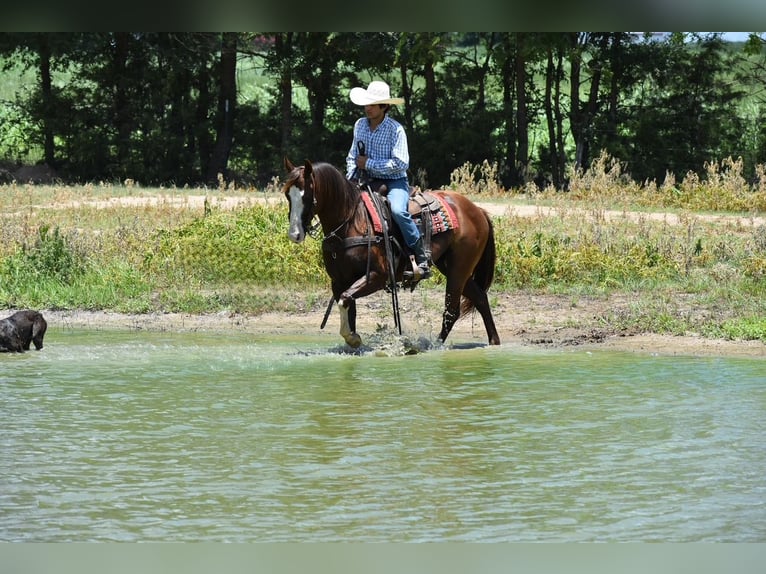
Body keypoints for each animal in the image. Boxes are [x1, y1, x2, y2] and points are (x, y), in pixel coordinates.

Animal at [282, 158, 500, 348]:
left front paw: (352, 338)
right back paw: (494, 341)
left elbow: (345, 299)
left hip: (459, 268)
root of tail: (477, 210)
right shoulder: (339, 281)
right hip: (453, 267)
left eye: (306, 195)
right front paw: (353, 341)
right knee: (480, 298)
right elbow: (349, 306)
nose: (295, 234)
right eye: (287, 195)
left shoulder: (377, 276)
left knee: (452, 310)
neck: (351, 221)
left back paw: (435, 345)